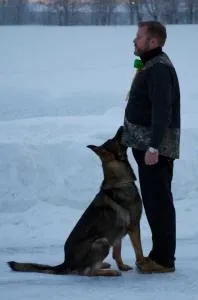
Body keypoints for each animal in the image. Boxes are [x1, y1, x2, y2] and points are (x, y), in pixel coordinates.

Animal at [7, 126, 144, 276]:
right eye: (115, 139)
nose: (122, 126)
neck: (120, 181)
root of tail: (66, 262)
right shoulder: (134, 226)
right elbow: (139, 250)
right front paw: (143, 264)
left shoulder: (117, 234)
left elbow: (117, 253)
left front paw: (122, 266)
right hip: (102, 241)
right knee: (87, 271)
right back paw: (109, 272)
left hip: (105, 241)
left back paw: (104, 265)